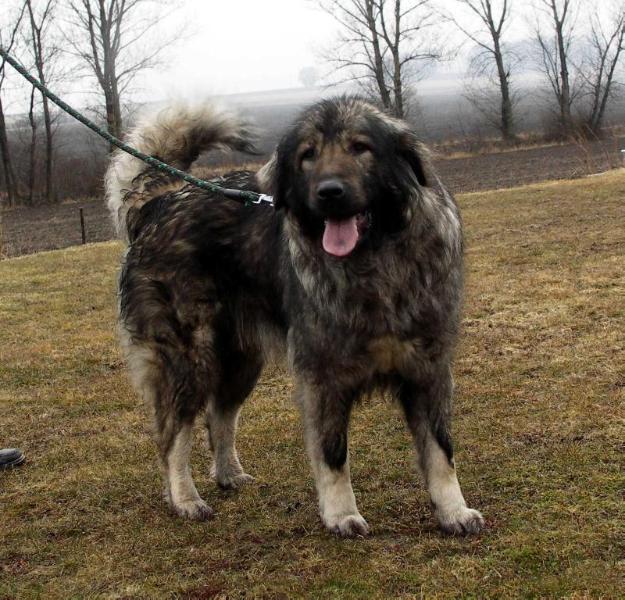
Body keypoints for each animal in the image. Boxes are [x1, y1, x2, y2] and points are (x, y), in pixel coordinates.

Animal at [107, 98, 486, 540]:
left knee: (220, 416)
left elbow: (441, 452)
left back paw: (229, 475)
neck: (377, 264)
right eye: (308, 156)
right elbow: (333, 453)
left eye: (361, 148)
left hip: (240, 361)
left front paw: (454, 510)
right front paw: (341, 514)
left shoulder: (428, 370)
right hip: (190, 359)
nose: (329, 192)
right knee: (173, 436)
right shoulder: (323, 376)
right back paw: (185, 499)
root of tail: (161, 202)